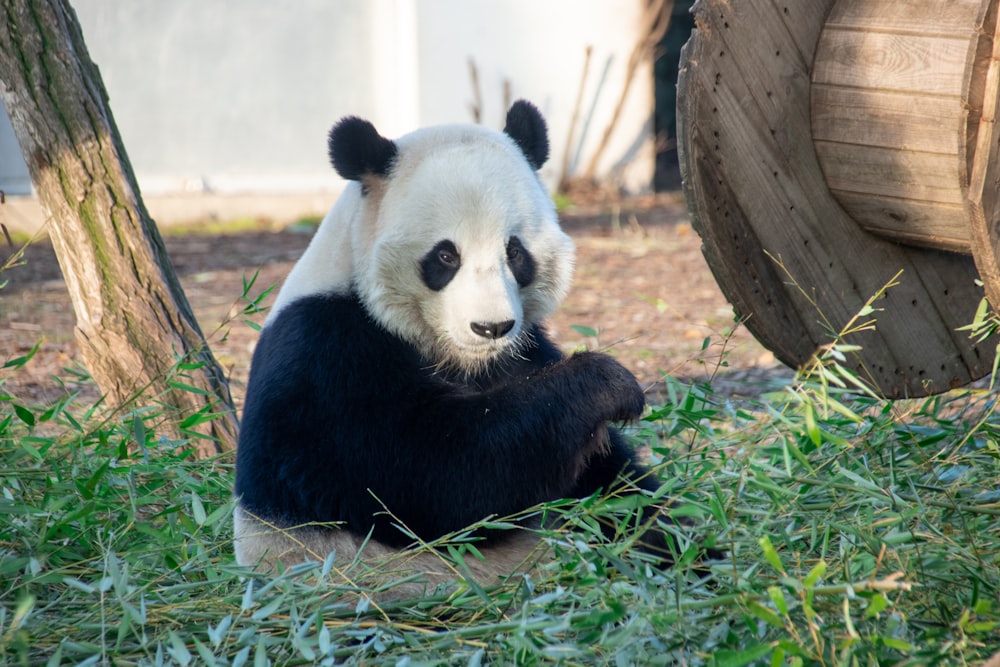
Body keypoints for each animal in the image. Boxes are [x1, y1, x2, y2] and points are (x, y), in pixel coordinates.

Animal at [236, 100, 696, 596]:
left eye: (515, 251)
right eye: (445, 255)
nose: (491, 327)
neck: (461, 360)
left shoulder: (525, 353)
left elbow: (611, 480)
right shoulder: (326, 359)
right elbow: (435, 475)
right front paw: (608, 384)